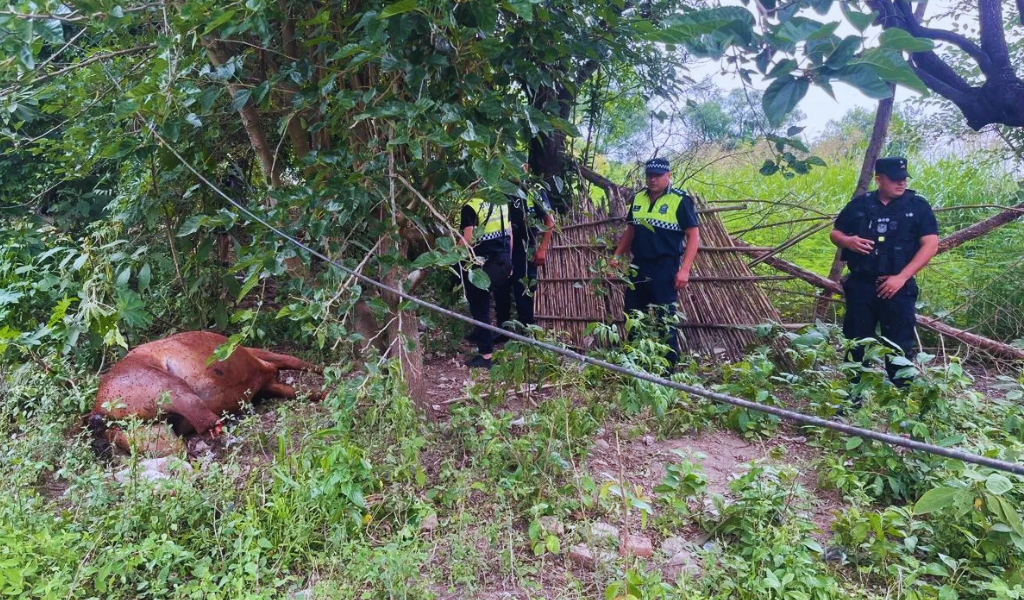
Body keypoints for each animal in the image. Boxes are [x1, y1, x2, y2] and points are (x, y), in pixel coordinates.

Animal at [90, 327, 317, 452]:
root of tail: (97, 410)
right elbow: (292, 361)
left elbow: (295, 388)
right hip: (160, 383)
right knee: (199, 412)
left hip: (145, 431)